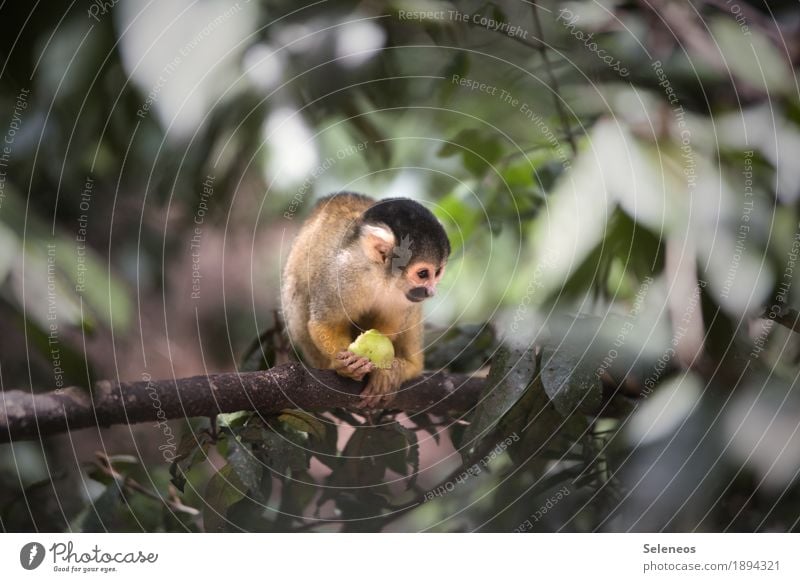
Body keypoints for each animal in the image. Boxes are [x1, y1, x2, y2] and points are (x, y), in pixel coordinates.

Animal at [280, 194, 450, 408]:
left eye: (438, 272)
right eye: (422, 274)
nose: (431, 292)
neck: (381, 276)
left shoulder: (403, 295)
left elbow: (387, 329)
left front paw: (386, 371)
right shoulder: (343, 275)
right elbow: (324, 323)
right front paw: (344, 364)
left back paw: (410, 367)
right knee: (297, 292)